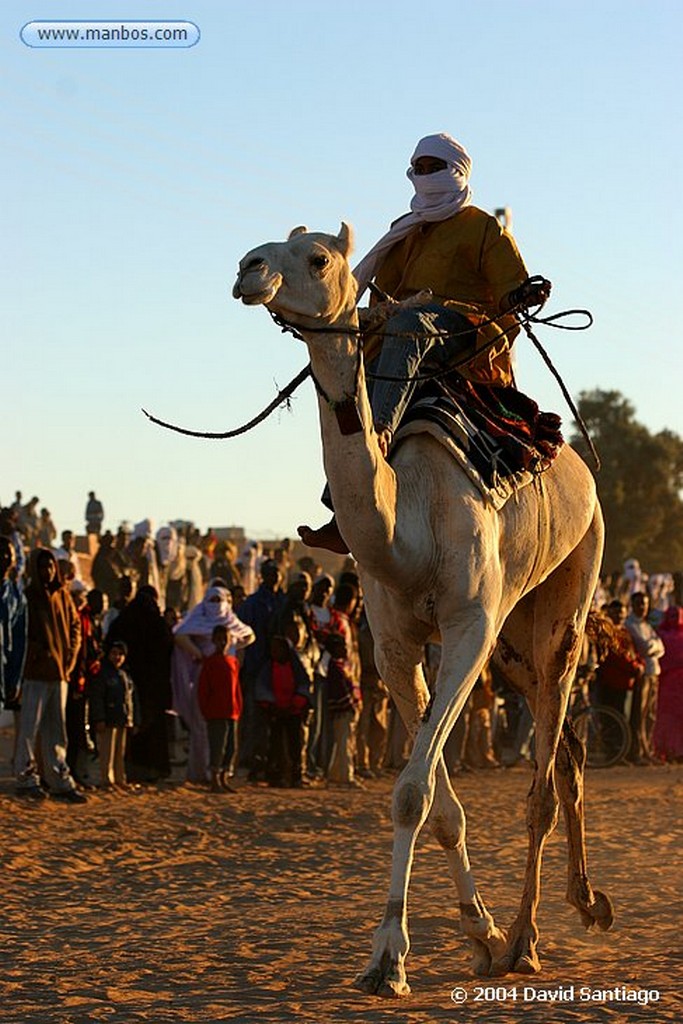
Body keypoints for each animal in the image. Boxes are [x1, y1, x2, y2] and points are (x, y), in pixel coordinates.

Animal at [232, 222, 610, 991]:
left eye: (317, 257)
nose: (248, 270)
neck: (406, 524)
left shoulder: (468, 626)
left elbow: (414, 791)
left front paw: (392, 959)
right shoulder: (393, 642)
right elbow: (435, 802)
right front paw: (472, 935)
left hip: (566, 597)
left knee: (541, 783)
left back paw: (530, 939)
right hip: (514, 642)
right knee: (566, 751)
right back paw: (582, 904)